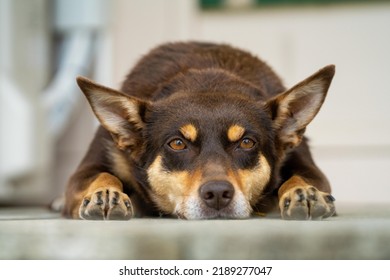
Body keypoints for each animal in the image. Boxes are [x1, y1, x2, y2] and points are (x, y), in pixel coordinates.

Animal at [62, 41, 336, 221]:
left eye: (247, 143)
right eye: (177, 143)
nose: (218, 193)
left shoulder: (308, 165)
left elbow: (300, 178)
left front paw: (305, 193)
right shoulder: (87, 168)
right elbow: (103, 175)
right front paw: (105, 193)